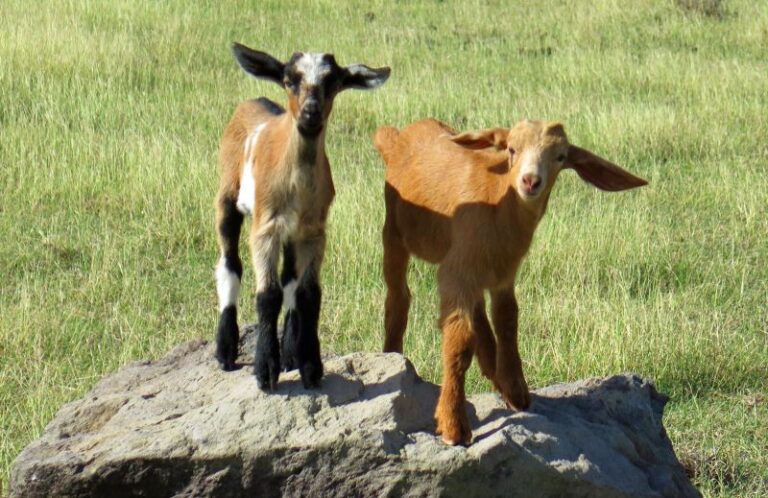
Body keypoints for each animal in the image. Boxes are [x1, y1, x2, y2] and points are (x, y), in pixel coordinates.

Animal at [215, 43, 390, 390]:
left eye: (332, 82)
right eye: (289, 80)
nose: (311, 112)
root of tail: (254, 101)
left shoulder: (313, 232)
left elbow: (307, 294)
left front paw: (310, 366)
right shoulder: (265, 228)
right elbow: (268, 295)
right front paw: (265, 371)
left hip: (292, 234)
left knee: (289, 279)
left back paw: (290, 354)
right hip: (227, 195)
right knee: (230, 264)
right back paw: (226, 351)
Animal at [373, 118, 647, 445]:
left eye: (560, 157)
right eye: (511, 150)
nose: (530, 181)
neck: (497, 202)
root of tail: (400, 135)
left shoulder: (503, 275)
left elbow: (507, 321)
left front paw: (515, 390)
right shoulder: (456, 273)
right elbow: (459, 343)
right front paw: (454, 425)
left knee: (478, 314)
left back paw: (492, 367)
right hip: (394, 232)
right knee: (398, 295)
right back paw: (392, 352)